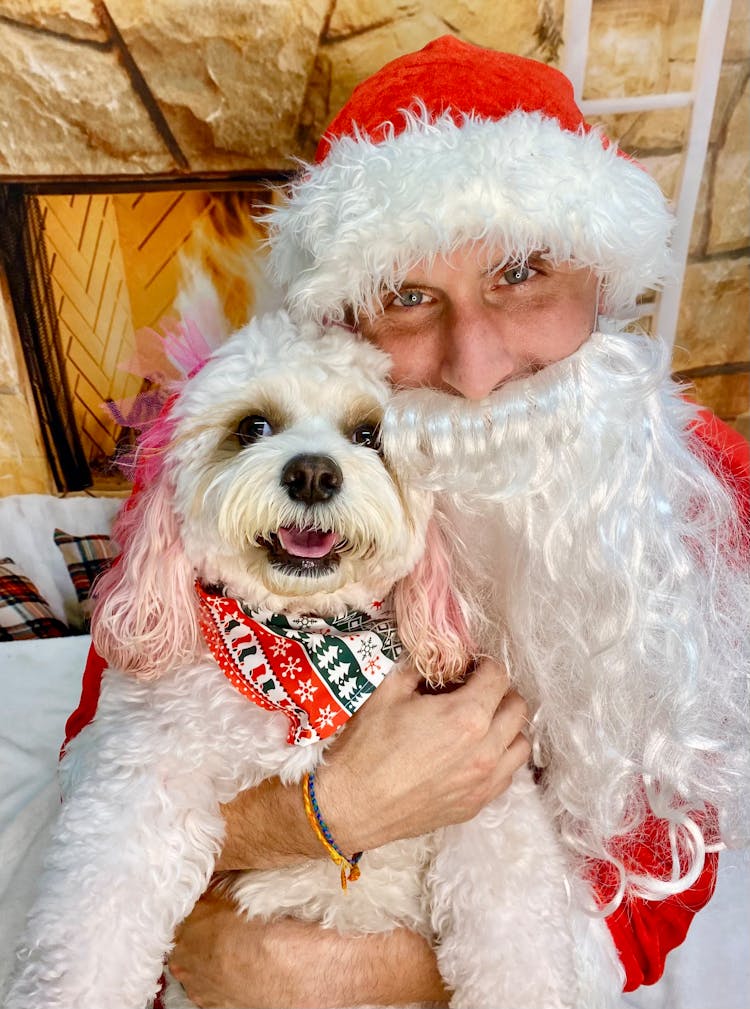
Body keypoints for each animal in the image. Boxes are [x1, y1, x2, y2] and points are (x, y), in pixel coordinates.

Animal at [5, 310, 621, 1008]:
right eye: (253, 427)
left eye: (369, 435)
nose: (313, 474)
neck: (304, 652)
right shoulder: (136, 778)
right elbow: (92, 928)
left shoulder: (489, 801)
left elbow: (517, 936)